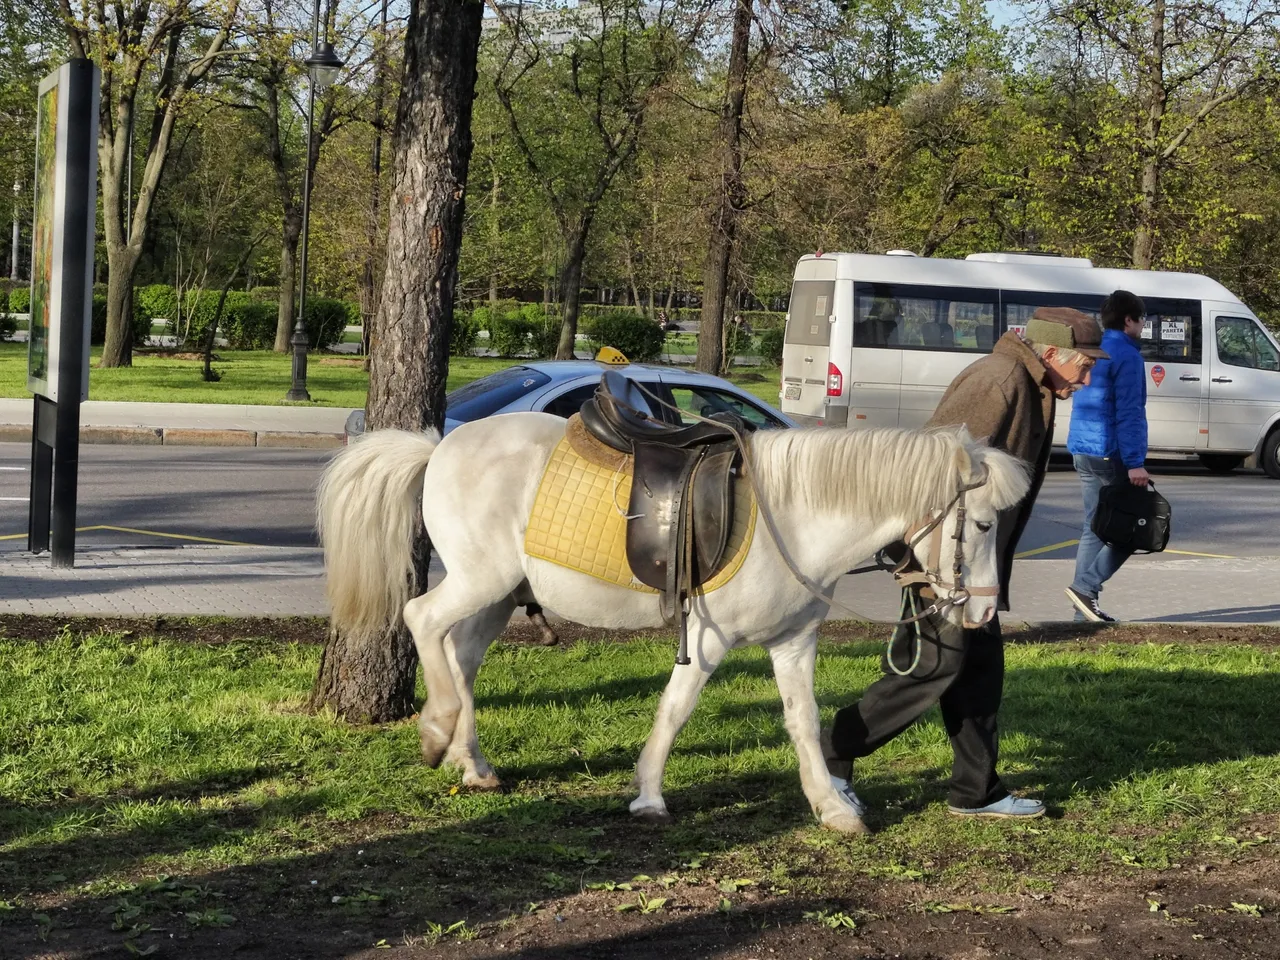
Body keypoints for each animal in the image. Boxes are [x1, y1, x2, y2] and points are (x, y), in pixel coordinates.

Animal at [320, 419, 1029, 834]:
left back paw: (473, 763)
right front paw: (649, 793)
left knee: (461, 656)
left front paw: (830, 804)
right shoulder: (708, 639)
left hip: (496, 595)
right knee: (421, 620)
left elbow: (802, 721)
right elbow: (676, 708)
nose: (984, 612)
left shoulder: (793, 642)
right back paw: (438, 729)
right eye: (983, 524)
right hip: (479, 580)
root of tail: (440, 444)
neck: (794, 515)